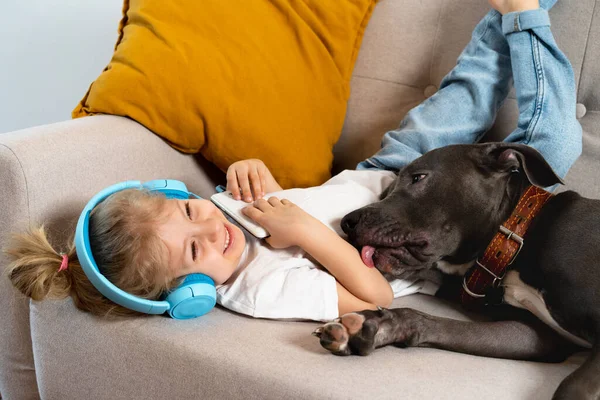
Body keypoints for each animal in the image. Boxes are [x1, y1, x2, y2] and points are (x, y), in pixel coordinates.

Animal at [314, 142, 600, 398]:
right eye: (385, 194)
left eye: (418, 177)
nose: (347, 222)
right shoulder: (537, 335)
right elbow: (438, 324)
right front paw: (372, 326)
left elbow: (572, 386)